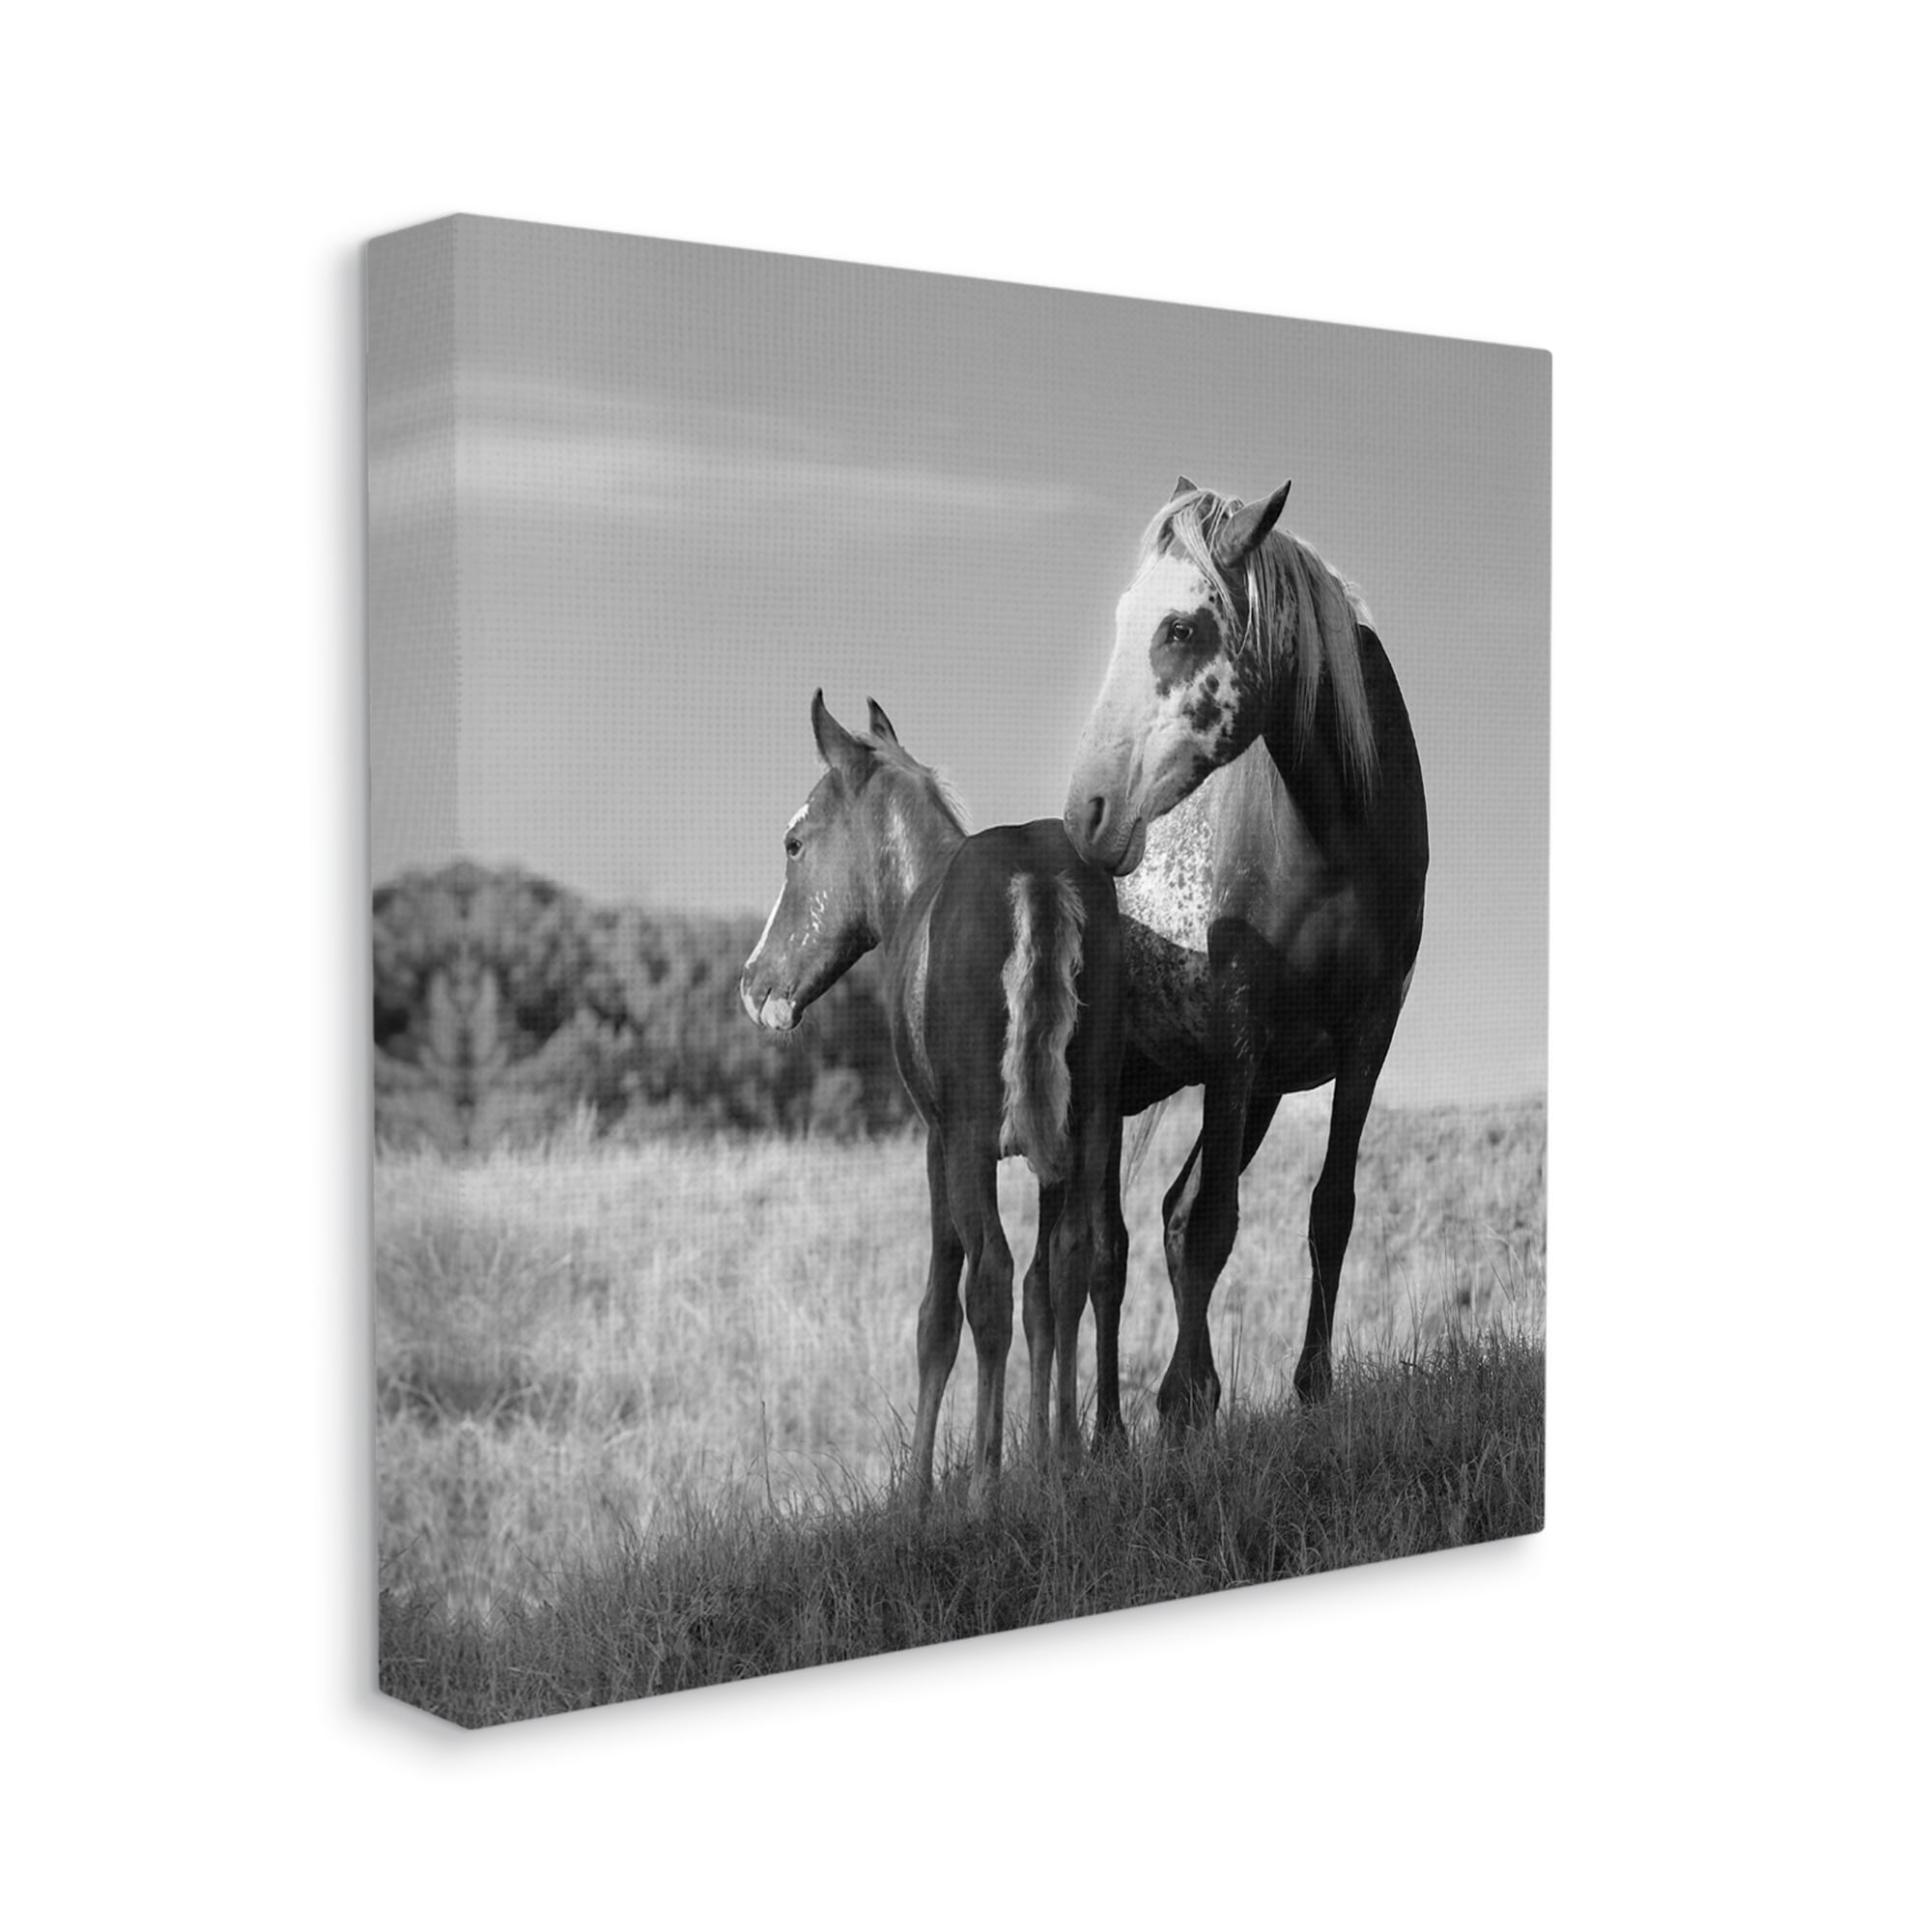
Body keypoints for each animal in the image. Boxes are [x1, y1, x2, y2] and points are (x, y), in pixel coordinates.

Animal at [741, 693, 1127, 1503]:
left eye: (794, 844)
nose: (754, 986)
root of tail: (1037, 878)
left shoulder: (936, 1142)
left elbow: (938, 1313)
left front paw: (919, 1490)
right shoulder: (1055, 1149)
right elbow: (1047, 1291)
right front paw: (1046, 1457)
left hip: (973, 1143)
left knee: (990, 1281)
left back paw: (981, 1482)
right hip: (1091, 1122)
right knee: (1071, 1262)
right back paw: (1067, 1457)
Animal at [1062, 476, 1429, 1426]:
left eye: (1181, 628)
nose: (1088, 812)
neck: (1337, 844)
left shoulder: (1365, 1040)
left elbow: (1328, 1211)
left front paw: (1311, 1390)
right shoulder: (1235, 1031)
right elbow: (1214, 1228)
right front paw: (1188, 1402)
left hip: (1250, 1092)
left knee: (1160, 1219)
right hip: (1111, 1096)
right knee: (1100, 1252)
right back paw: (1103, 1436)